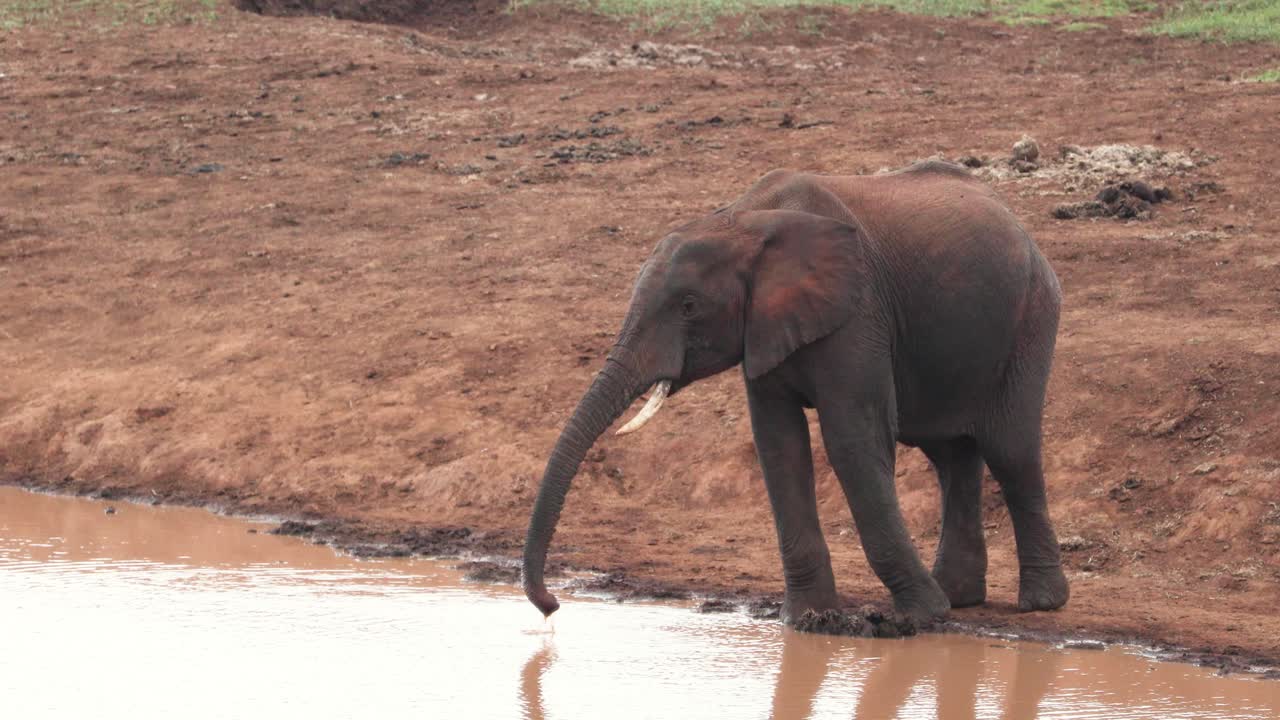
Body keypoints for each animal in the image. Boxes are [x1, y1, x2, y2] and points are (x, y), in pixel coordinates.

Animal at [521, 160, 1069, 625]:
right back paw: (961, 597)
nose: (551, 607)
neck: (741, 222)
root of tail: (1020, 225)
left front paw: (919, 616)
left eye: (689, 306)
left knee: (1011, 452)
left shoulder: (859, 313)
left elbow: (852, 441)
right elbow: (779, 446)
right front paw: (809, 620)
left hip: (1032, 315)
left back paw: (1039, 603)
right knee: (951, 457)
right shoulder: (764, 327)